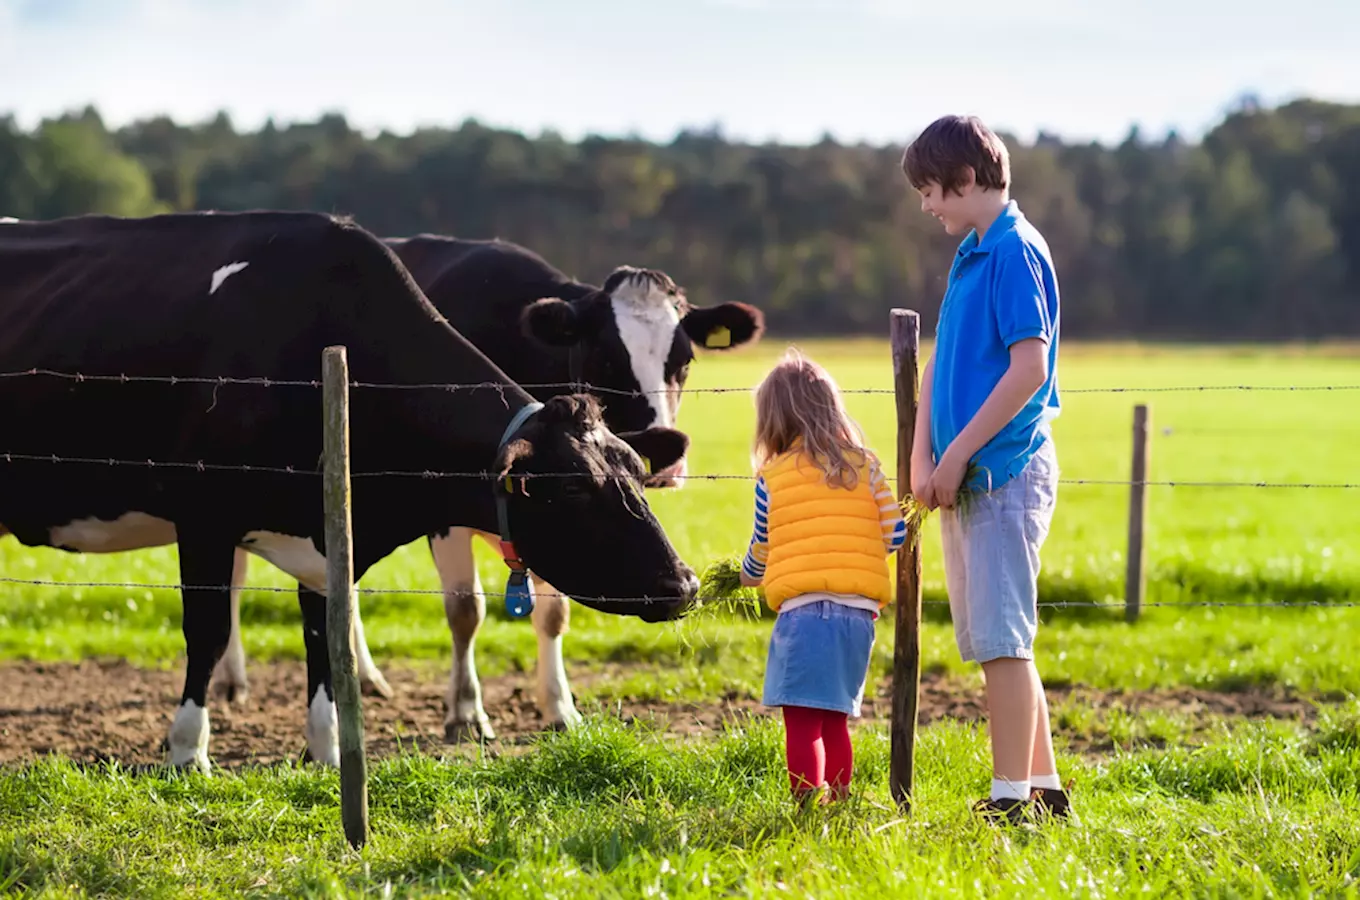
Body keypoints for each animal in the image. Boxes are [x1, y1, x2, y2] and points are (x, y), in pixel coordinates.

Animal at [0, 213, 701, 777]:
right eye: (575, 488)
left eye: (633, 470)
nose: (684, 583)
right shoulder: (203, 516)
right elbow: (205, 628)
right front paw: (188, 750)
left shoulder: (326, 531)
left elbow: (323, 635)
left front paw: (327, 749)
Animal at [214, 236, 767, 745]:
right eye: (608, 360)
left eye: (684, 362)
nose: (664, 466)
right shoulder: (447, 513)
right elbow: (466, 609)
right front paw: (466, 713)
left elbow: (553, 615)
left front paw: (560, 707)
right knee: (239, 577)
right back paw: (231, 679)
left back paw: (365, 676)